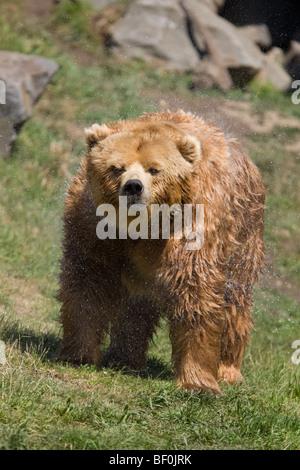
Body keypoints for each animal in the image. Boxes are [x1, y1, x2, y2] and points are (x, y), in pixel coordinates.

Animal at [57, 109, 264, 392]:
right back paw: (124, 356)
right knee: (135, 307)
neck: (141, 228)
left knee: (236, 304)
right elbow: (88, 281)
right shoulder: (94, 228)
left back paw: (228, 370)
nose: (133, 187)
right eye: (116, 168)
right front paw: (79, 353)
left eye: (154, 169)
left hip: (244, 235)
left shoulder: (192, 227)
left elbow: (196, 293)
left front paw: (198, 383)